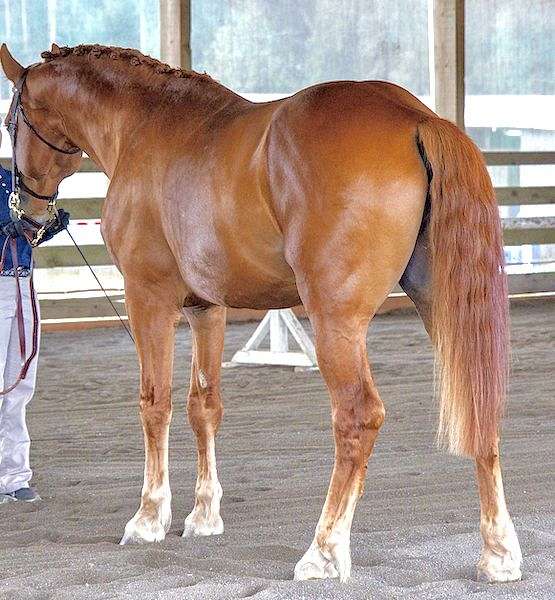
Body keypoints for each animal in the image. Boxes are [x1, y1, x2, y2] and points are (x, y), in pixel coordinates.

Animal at [0, 43, 524, 584]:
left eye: (9, 122)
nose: (25, 215)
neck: (144, 126)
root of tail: (416, 117)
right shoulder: (206, 308)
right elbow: (203, 406)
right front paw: (203, 516)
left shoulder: (149, 298)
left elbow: (155, 403)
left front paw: (147, 519)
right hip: (445, 308)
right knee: (480, 405)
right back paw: (499, 553)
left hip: (336, 323)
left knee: (357, 417)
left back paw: (323, 550)